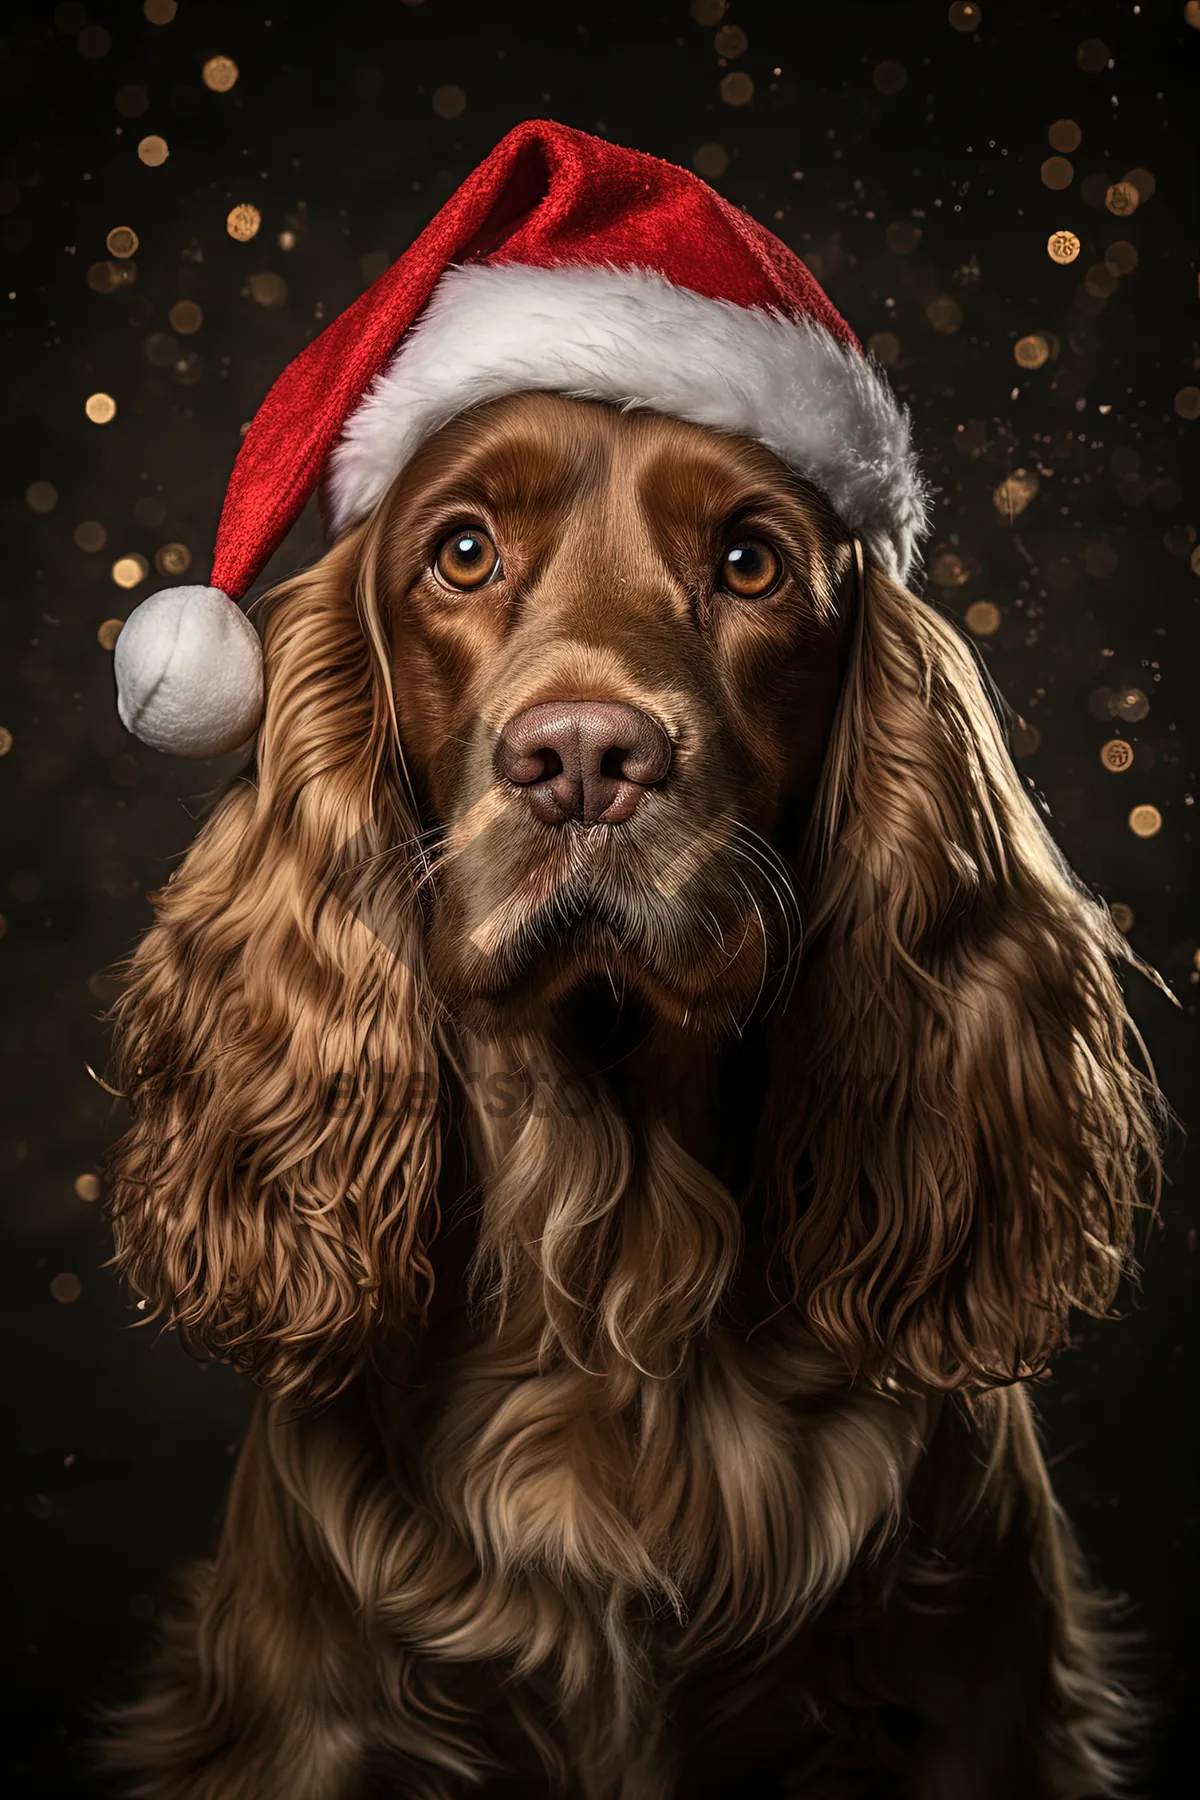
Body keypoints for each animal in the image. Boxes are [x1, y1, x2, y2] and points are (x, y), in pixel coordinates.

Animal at [105, 394, 1165, 1800]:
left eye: (751, 563)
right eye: (461, 551)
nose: (583, 758)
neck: (616, 1280)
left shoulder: (974, 1725)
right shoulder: (307, 1735)